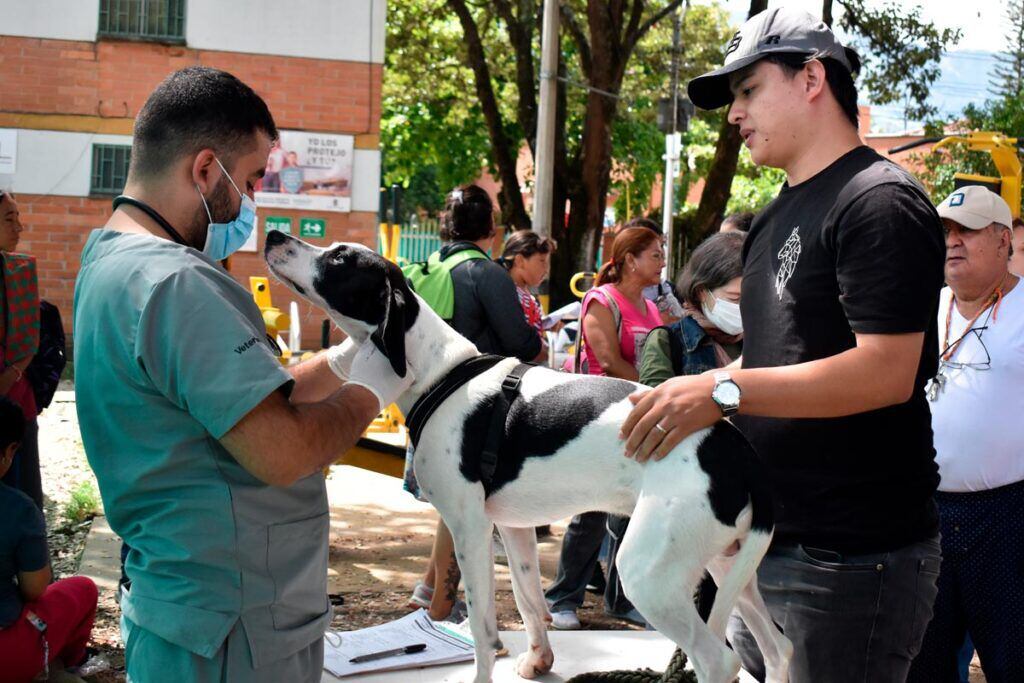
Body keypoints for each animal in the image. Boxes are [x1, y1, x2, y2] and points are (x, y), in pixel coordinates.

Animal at [264, 231, 790, 683]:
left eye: (340, 258)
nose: (272, 235)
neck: (442, 372)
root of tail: (735, 448)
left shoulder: (469, 527)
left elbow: (483, 629)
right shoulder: (512, 527)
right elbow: (528, 601)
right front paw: (539, 660)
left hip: (650, 574)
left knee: (720, 660)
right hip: (728, 565)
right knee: (778, 651)